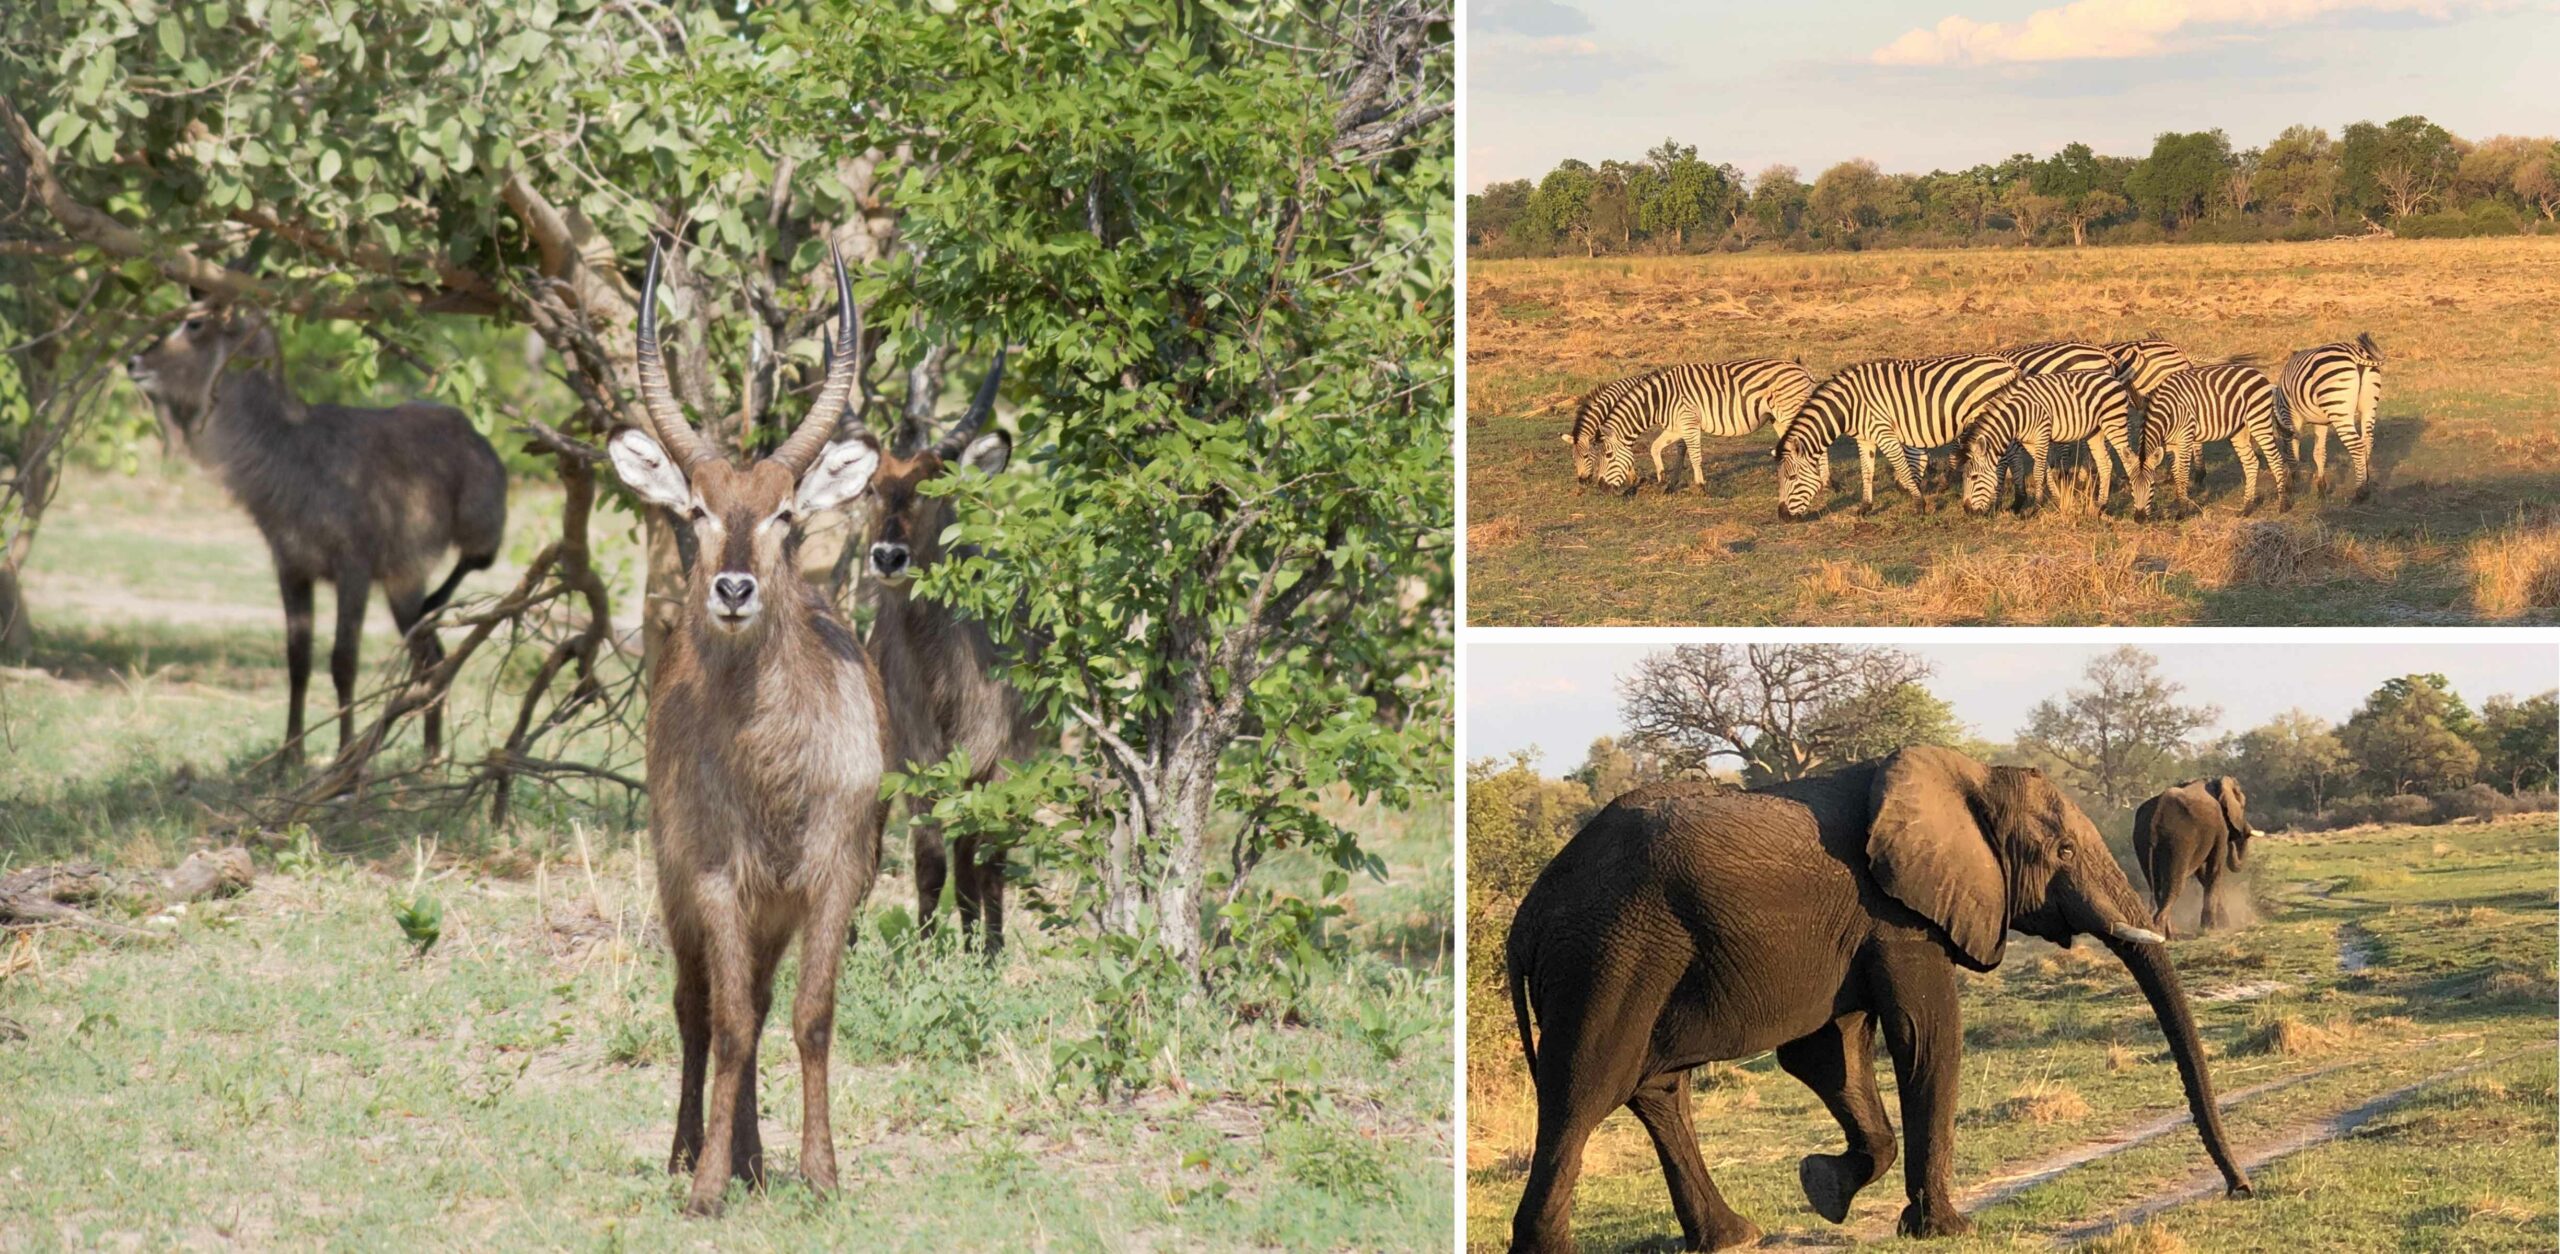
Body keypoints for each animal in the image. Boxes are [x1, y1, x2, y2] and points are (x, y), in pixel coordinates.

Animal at [1590, 358, 1816, 494]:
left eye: (1608, 455)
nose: (1601, 486)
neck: (1659, 400)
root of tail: (1803, 370)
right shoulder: (1676, 426)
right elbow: (1657, 447)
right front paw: (1664, 479)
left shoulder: (1689, 421)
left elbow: (1694, 455)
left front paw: (1700, 486)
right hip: (1778, 418)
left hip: (1791, 412)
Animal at [1773, 352, 2020, 518]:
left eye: (1791, 478)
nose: (1782, 515)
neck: (1849, 406)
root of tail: (2008, 365)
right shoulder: (1865, 437)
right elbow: (1867, 472)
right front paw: (1865, 507)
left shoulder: (1884, 432)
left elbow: (1903, 467)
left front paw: (1919, 505)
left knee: (2008, 456)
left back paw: (2007, 498)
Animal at [1960, 370, 2151, 518]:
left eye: (1974, 477)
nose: (1967, 510)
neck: (2017, 415)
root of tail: (2114, 379)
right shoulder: (2029, 441)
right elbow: (2045, 469)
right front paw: (2059, 500)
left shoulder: (2042, 433)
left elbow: (2038, 472)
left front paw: (2034, 509)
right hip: (2095, 431)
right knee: (2105, 464)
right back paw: (2100, 506)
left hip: (2114, 423)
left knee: (2129, 462)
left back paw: (2137, 510)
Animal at [2139, 363, 2292, 516]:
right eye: (2134, 488)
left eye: (2152, 486)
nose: (2139, 518)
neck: (2168, 411)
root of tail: (2258, 373)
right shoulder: (2171, 443)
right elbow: (2176, 473)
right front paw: (2179, 501)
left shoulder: (2185, 437)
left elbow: (2182, 474)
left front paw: (2182, 512)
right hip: (2239, 429)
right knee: (2251, 463)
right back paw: (2246, 508)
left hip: (2258, 419)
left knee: (2276, 459)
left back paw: (2283, 506)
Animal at [2280, 332, 2384, 502]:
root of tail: (2356, 354)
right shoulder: (2320, 422)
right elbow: (2319, 452)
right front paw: (2321, 487)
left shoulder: (2292, 416)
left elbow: (2293, 451)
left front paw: (2291, 485)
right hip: (2369, 407)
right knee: (2367, 441)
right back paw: (2367, 480)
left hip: (2340, 410)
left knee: (2357, 446)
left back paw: (2361, 491)